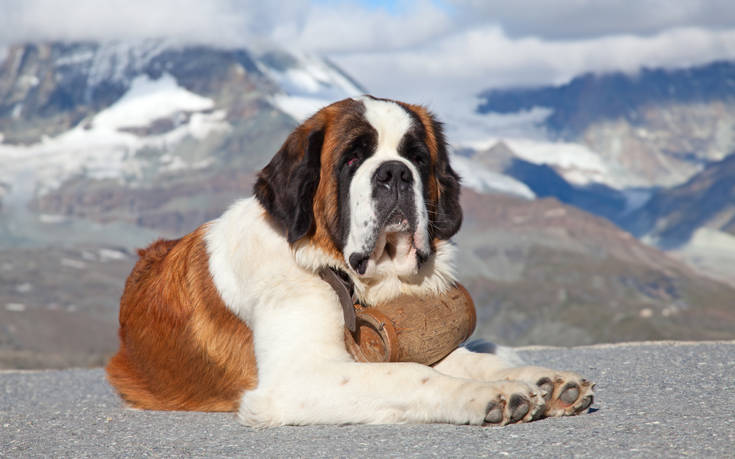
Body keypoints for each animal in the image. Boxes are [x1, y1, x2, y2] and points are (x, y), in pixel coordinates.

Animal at [108, 94, 592, 428]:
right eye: (353, 158)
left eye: (417, 158)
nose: (394, 172)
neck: (347, 277)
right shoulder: (298, 378)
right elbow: (409, 374)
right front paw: (488, 395)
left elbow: (462, 358)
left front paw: (541, 381)